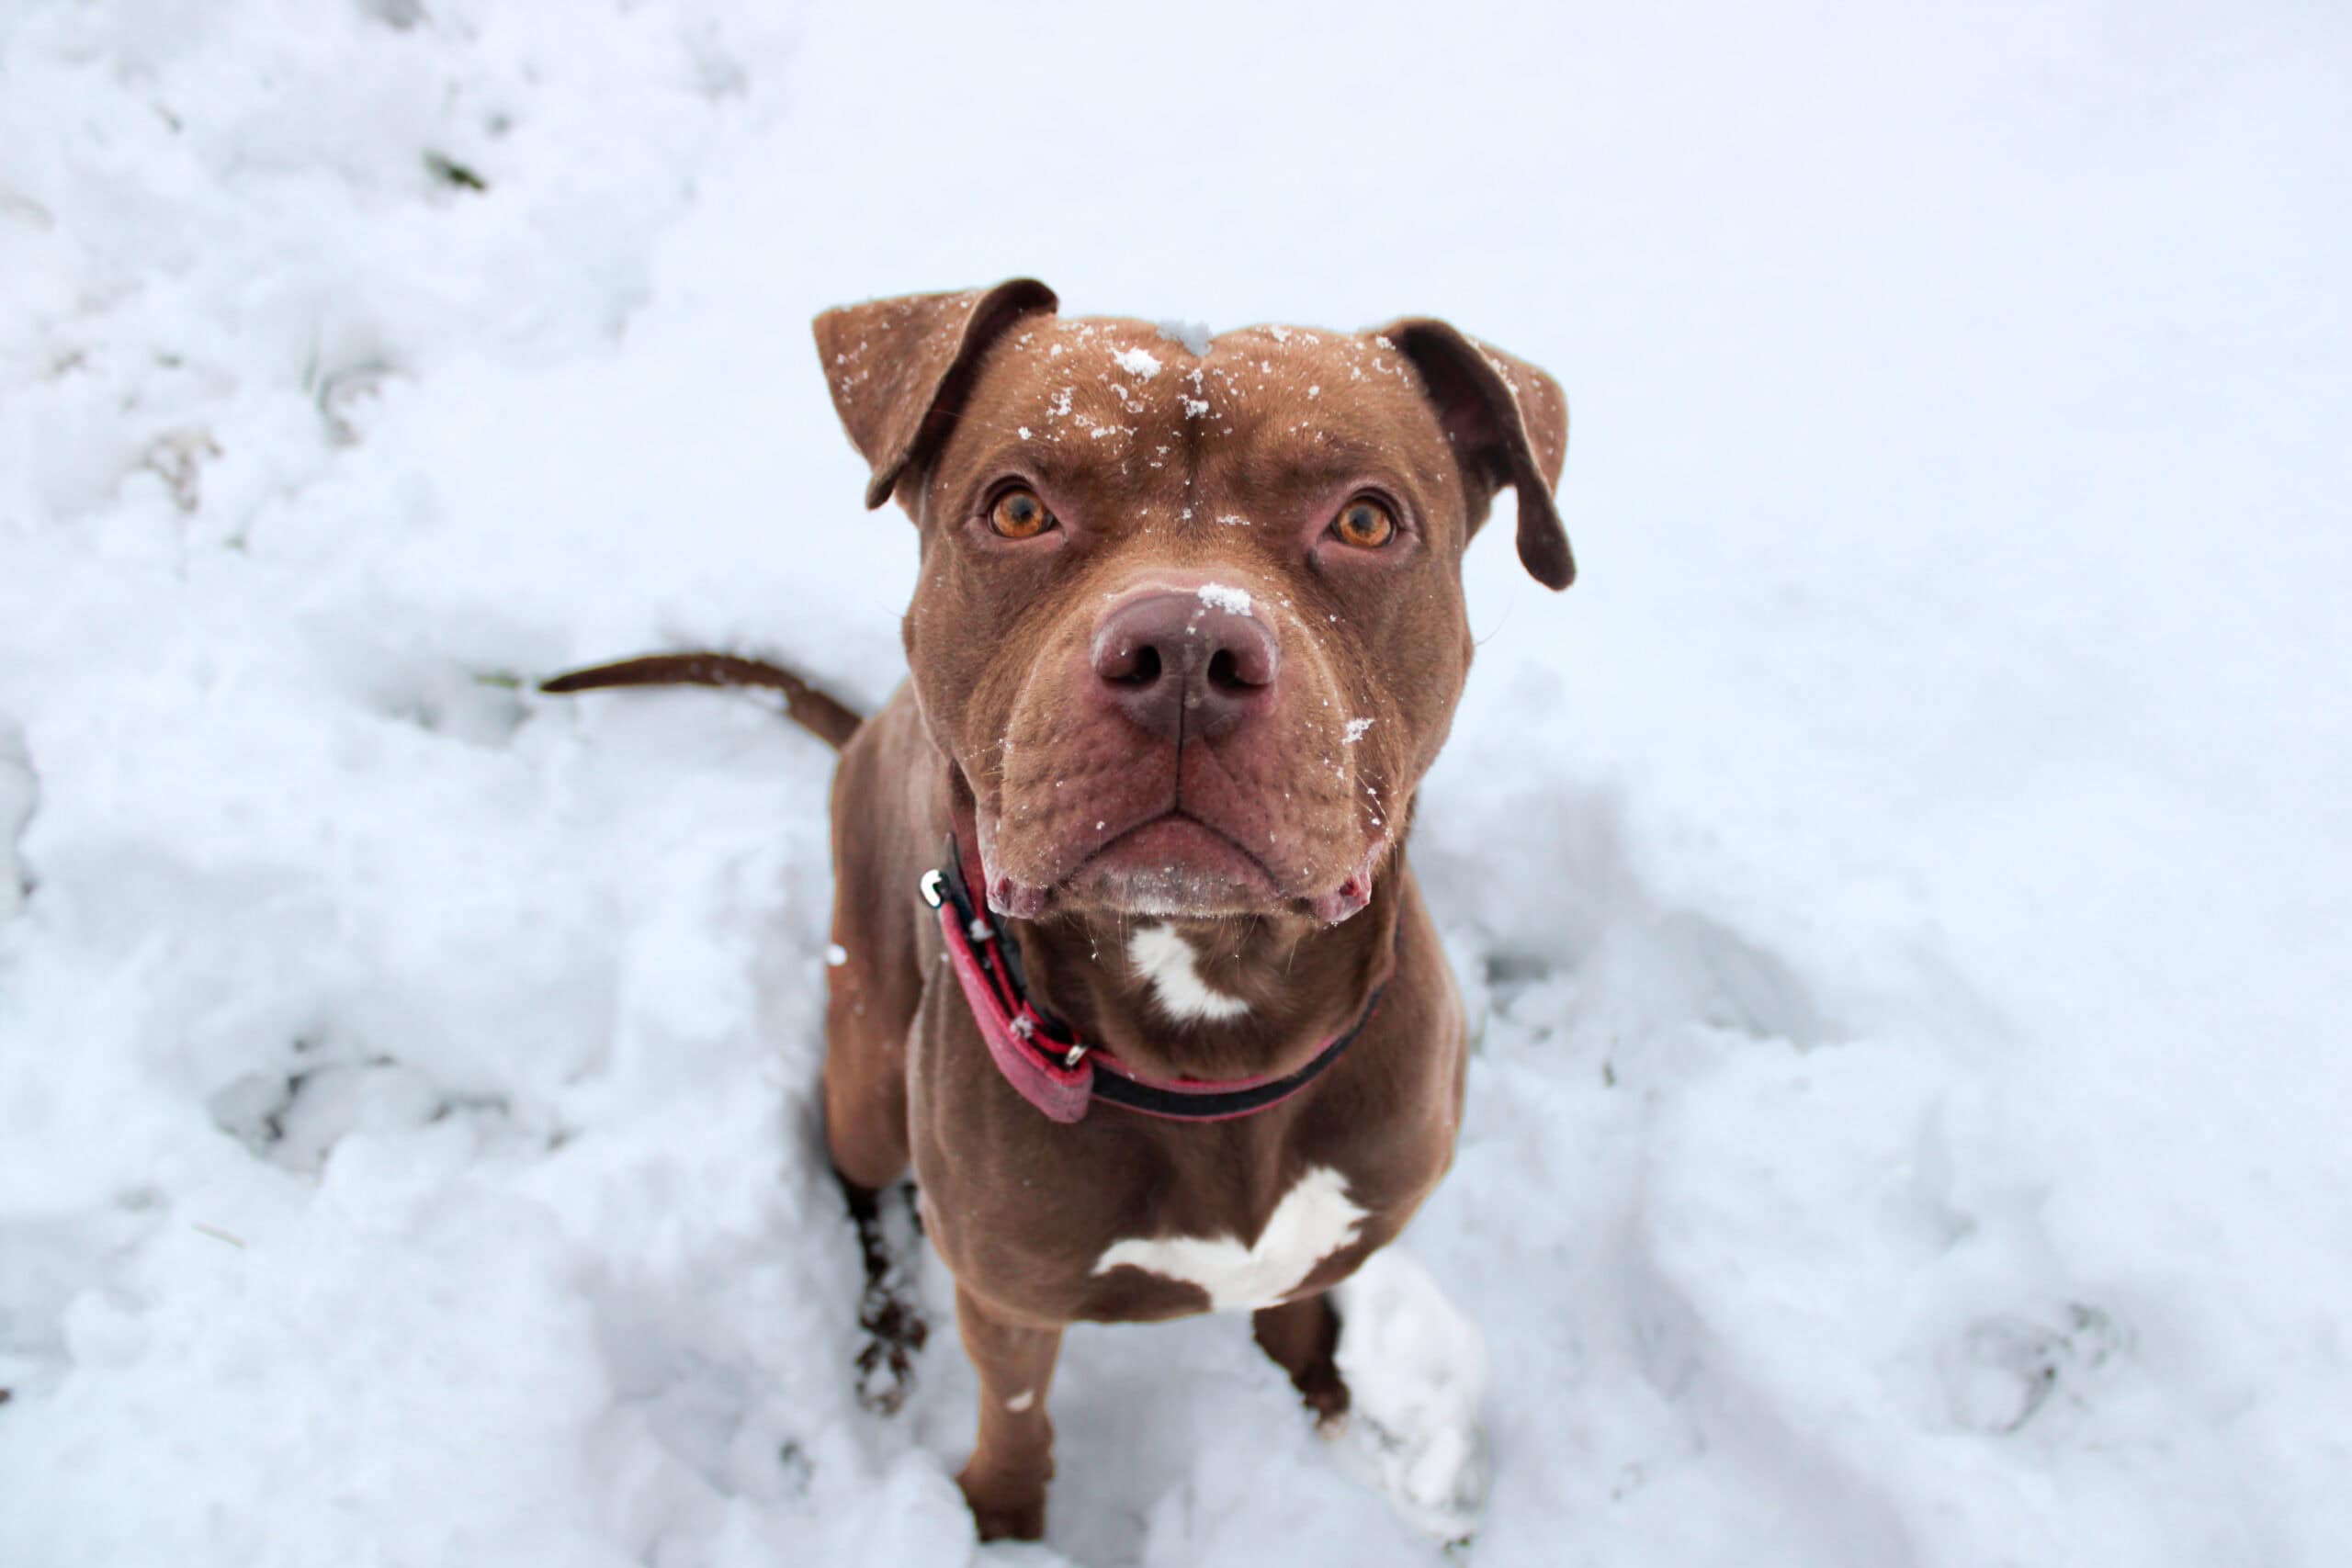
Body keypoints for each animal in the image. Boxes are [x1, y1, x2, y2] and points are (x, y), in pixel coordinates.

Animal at [546, 280, 1570, 1541]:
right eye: (1020, 506)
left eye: (1368, 522)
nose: (1188, 645)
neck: (1211, 1034)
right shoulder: (1007, 1299)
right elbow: (1017, 1416)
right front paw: (998, 1524)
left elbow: (1295, 1304)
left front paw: (1324, 1399)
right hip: (864, 1057)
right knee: (855, 1177)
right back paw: (883, 1336)